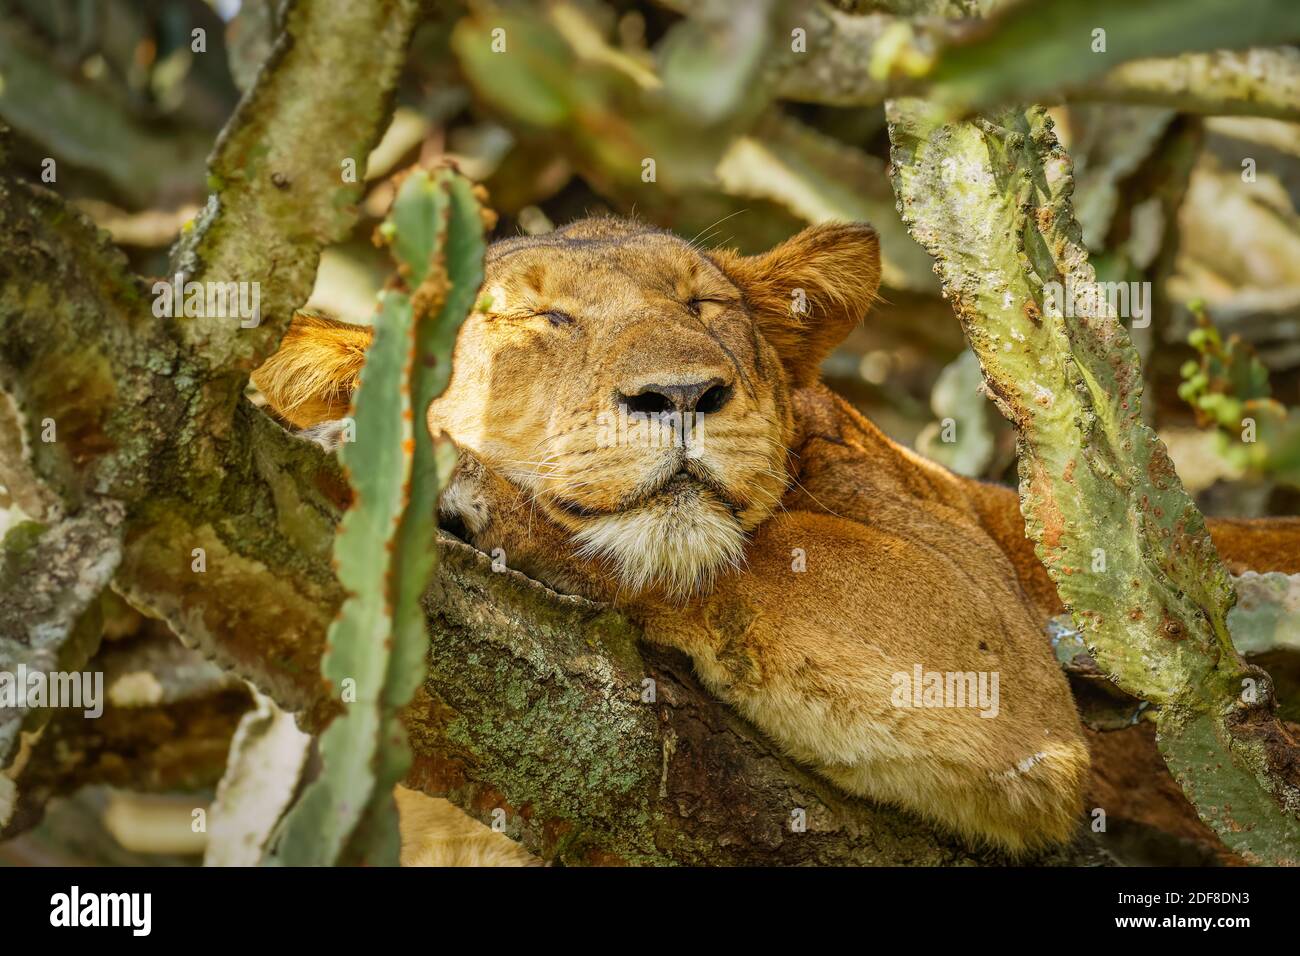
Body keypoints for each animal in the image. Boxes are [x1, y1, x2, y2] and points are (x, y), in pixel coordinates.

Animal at [254, 217, 1300, 861]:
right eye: (546, 318)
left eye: (702, 307)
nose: (681, 393)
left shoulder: (993, 641)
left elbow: (724, 562)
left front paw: (451, 483)